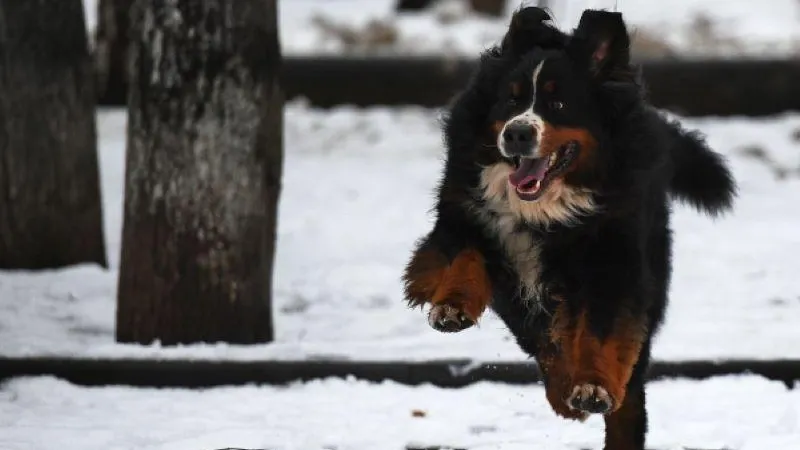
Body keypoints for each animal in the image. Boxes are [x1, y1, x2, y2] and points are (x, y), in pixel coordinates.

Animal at [404, 7, 736, 450]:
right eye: (510, 99)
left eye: (558, 103)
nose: (517, 132)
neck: (544, 210)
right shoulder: (466, 215)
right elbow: (463, 258)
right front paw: (451, 308)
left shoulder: (611, 260)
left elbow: (599, 330)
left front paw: (591, 388)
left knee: (628, 389)